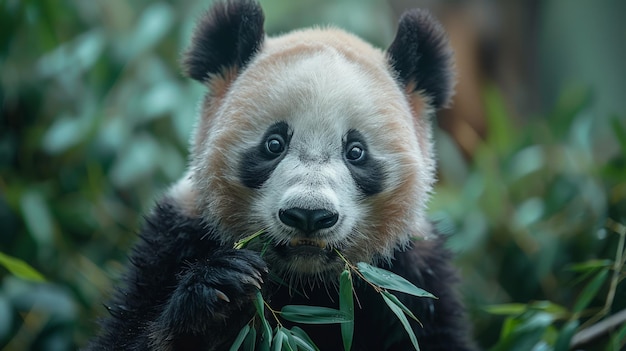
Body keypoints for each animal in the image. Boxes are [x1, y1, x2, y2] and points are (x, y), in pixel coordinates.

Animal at [86, 0, 472, 351]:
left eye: (356, 152)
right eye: (274, 144)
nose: (309, 215)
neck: (308, 286)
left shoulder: (414, 278)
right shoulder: (173, 238)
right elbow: (125, 334)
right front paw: (220, 288)